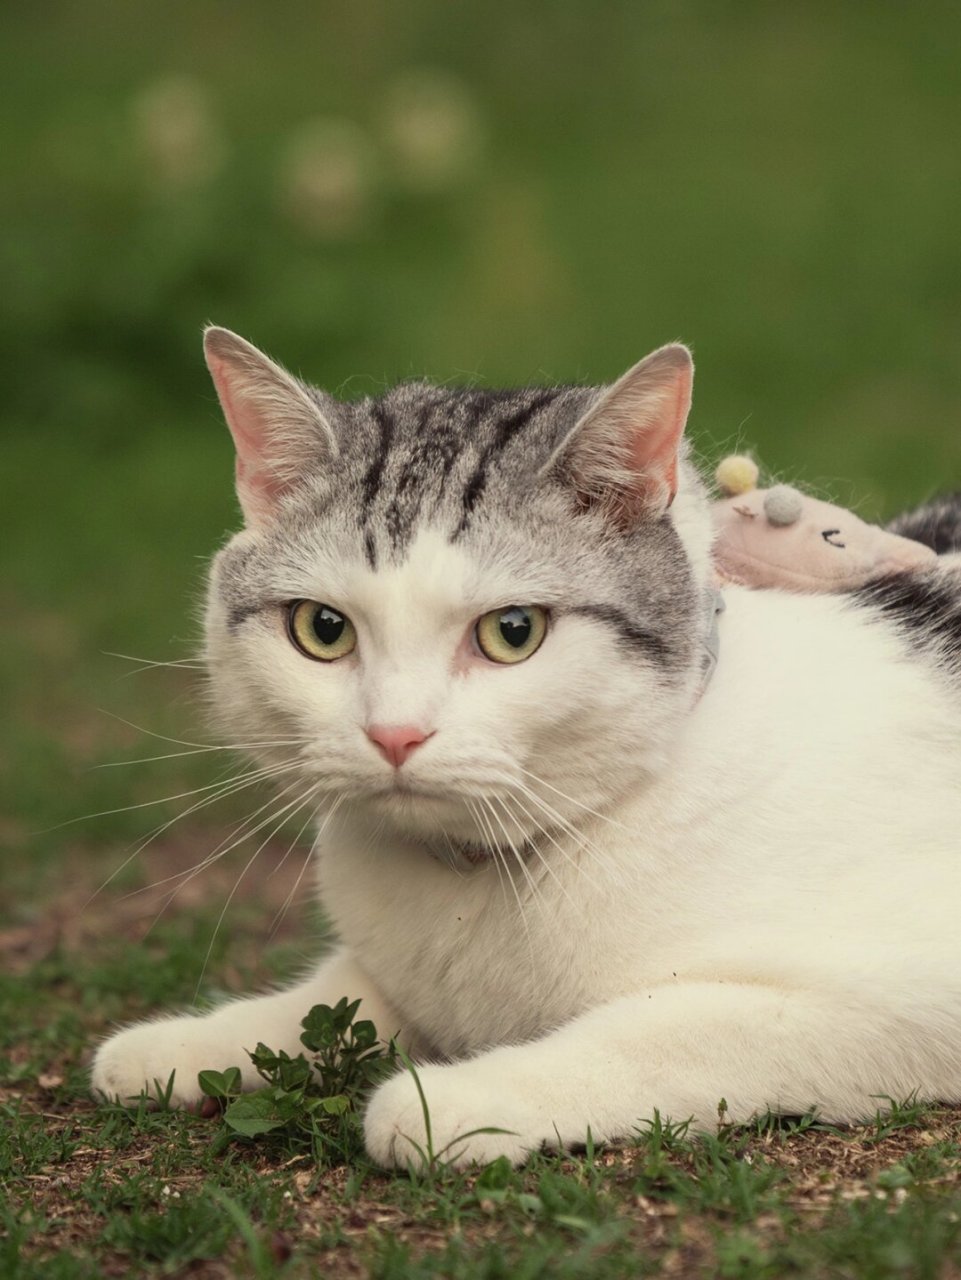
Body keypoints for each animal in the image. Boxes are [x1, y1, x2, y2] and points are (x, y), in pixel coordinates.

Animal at [92, 330, 961, 1172]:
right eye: (322, 629)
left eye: (513, 632)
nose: (394, 733)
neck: (477, 878)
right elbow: (331, 999)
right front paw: (176, 1044)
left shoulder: (911, 980)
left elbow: (667, 1025)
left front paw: (454, 1098)